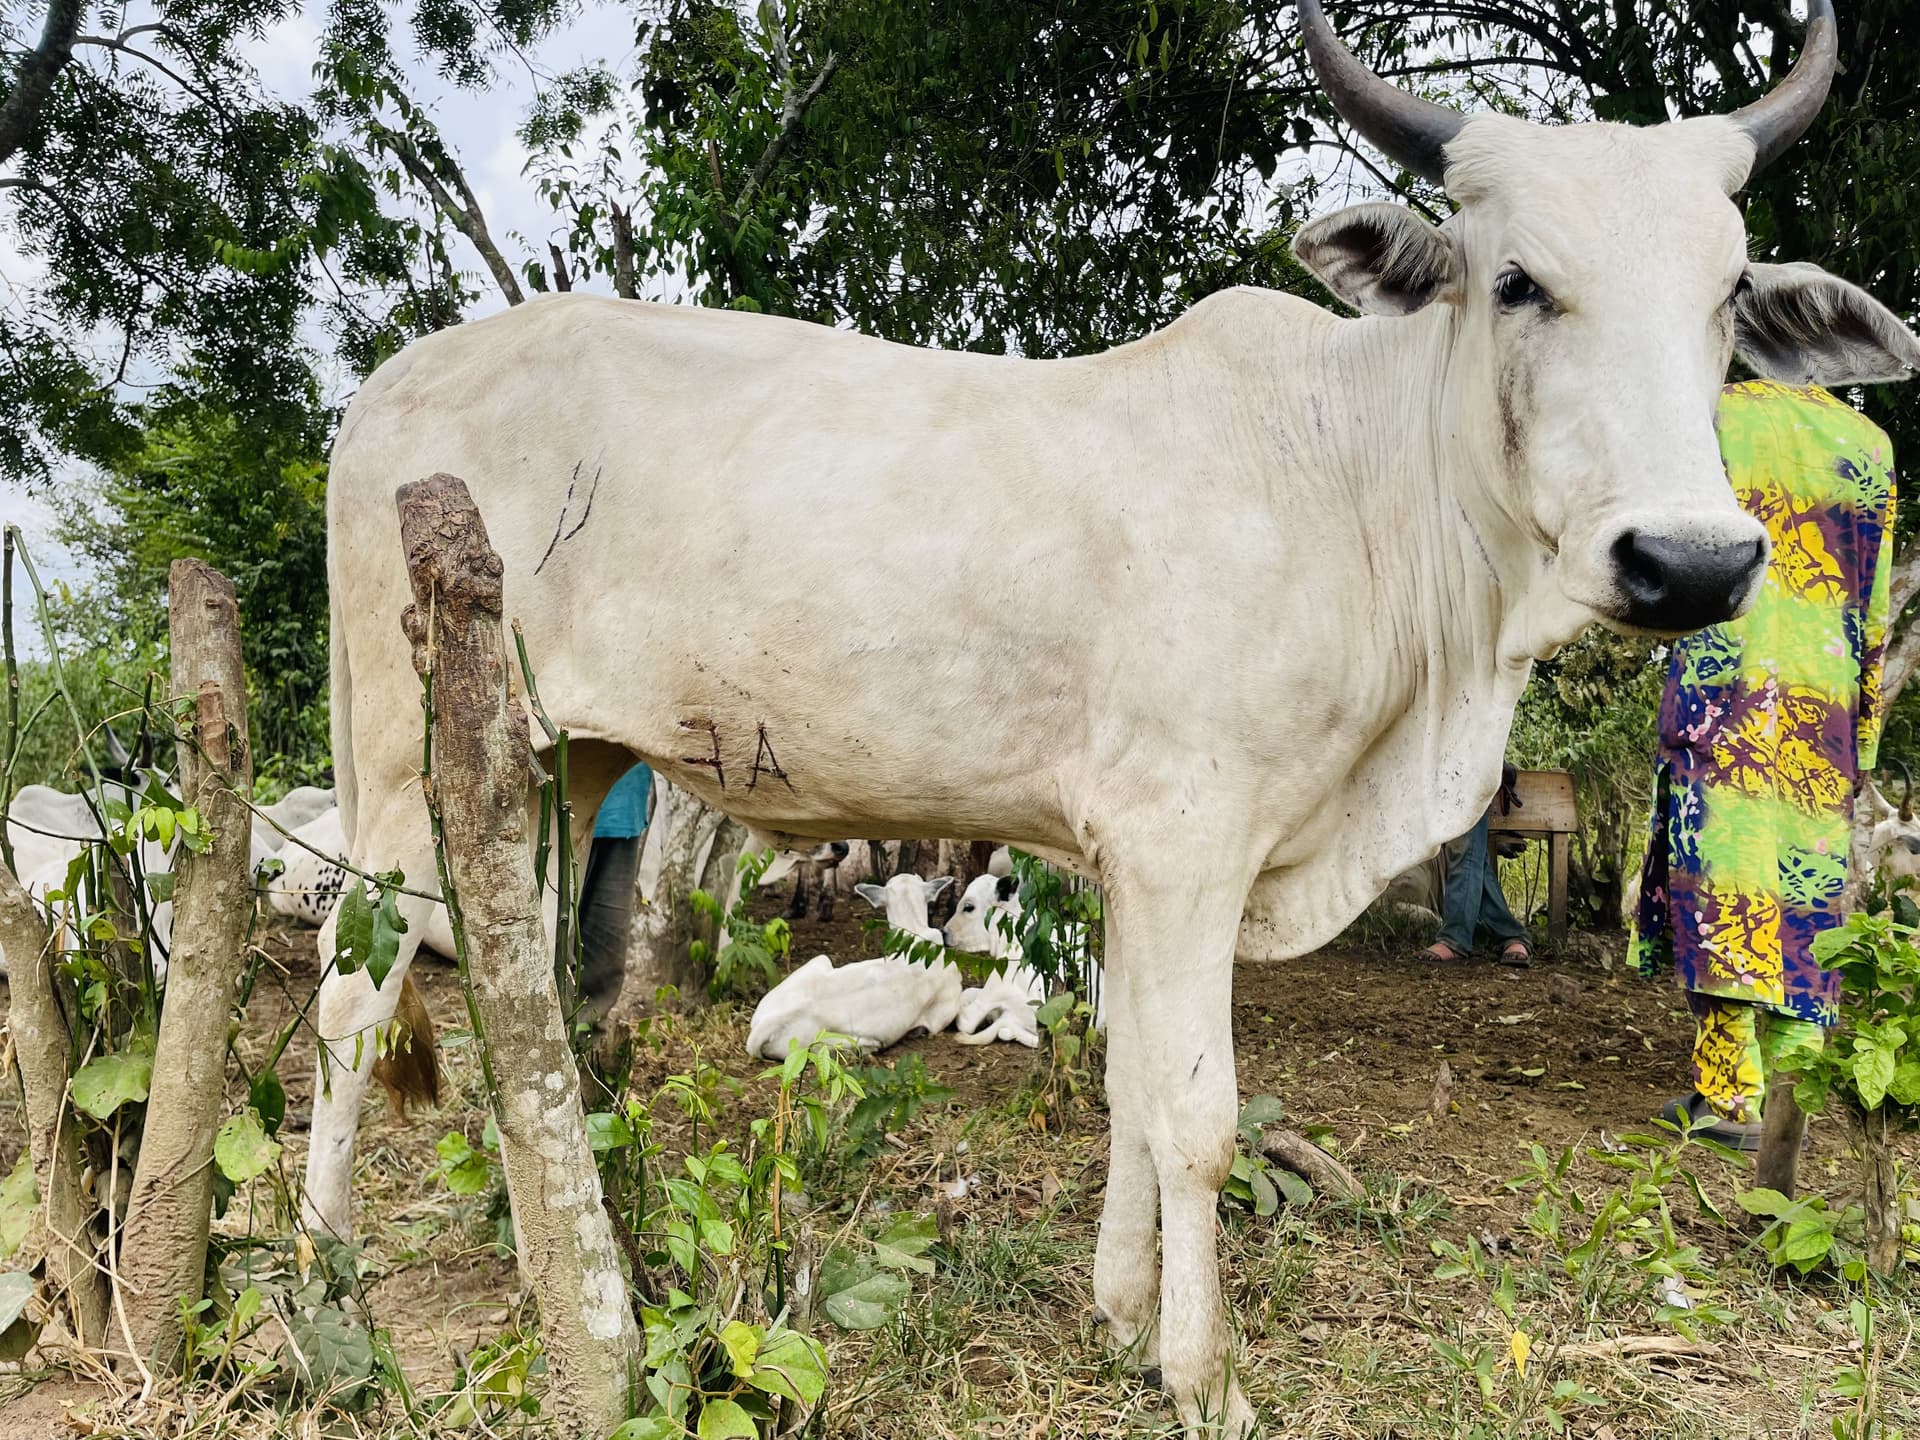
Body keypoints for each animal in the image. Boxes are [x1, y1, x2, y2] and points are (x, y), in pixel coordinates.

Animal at [310, 1, 1914, 1427]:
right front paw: (1204, 1377)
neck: (1358, 483)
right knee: (349, 998)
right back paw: (329, 1285)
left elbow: (1136, 1083)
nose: (1690, 561)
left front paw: (1123, 1312)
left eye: (1728, 296)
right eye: (1517, 281)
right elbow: (1196, 1114)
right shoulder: (1188, 842)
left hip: (555, 763)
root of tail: (383, 385)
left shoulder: (1140, 863)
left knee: (522, 1001)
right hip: (399, 767)